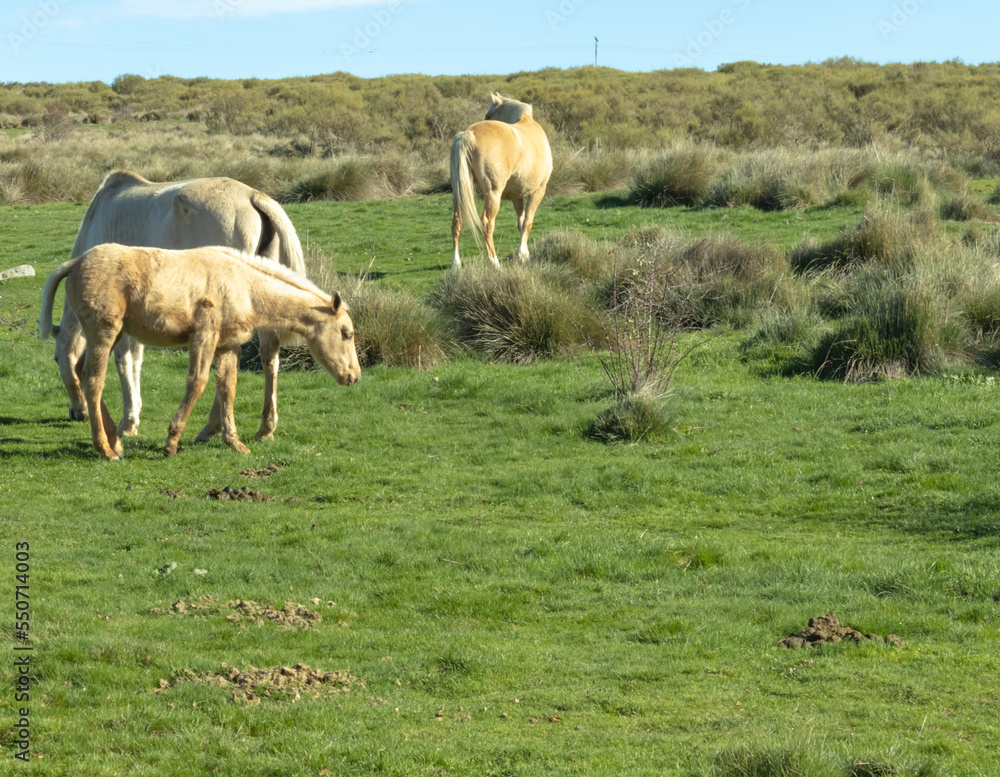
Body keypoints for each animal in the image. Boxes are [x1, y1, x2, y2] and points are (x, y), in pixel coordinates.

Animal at [40, 244, 360, 460]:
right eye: (347, 333)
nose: (354, 376)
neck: (244, 285)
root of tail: (75, 263)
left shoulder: (227, 346)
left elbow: (227, 389)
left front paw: (234, 442)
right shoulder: (204, 337)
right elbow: (198, 383)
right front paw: (172, 442)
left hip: (111, 334)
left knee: (81, 373)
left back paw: (115, 443)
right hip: (104, 334)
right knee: (94, 381)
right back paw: (106, 449)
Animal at [53, 174, 304, 446]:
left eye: (56, 359)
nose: (77, 413)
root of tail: (252, 196)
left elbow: (124, 361)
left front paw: (128, 423)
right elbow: (136, 360)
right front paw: (134, 414)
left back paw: (212, 427)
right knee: (269, 353)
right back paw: (265, 428)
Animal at [454, 93, 556, 268]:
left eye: (488, 114)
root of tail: (468, 134)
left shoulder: (517, 196)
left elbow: (520, 222)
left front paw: (524, 254)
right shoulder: (538, 191)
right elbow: (528, 221)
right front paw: (523, 254)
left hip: (459, 193)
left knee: (457, 222)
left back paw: (456, 265)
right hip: (493, 194)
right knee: (487, 223)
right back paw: (494, 262)